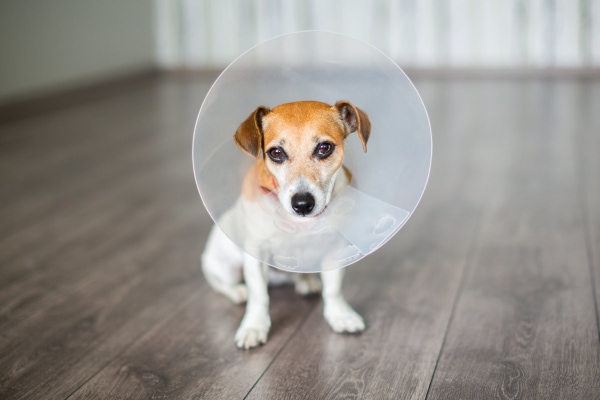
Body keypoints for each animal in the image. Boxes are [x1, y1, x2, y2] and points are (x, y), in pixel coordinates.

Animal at [202, 101, 370, 350]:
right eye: (276, 153)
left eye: (324, 148)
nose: (302, 204)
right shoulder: (256, 254)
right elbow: (259, 295)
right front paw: (254, 327)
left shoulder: (335, 250)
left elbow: (334, 289)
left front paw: (340, 315)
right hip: (226, 264)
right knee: (219, 282)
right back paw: (238, 291)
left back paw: (305, 281)